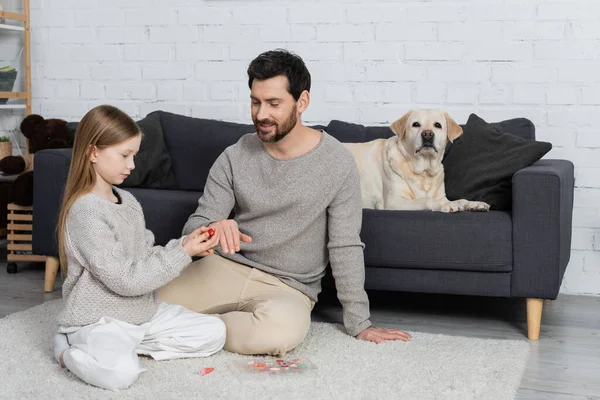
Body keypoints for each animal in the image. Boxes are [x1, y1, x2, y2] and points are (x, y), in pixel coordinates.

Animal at [344, 109, 490, 212]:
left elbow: (460, 200)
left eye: (437, 125)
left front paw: (474, 204)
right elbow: (426, 200)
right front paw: (447, 205)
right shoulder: (394, 202)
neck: (424, 172)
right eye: (415, 124)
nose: (427, 134)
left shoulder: (441, 195)